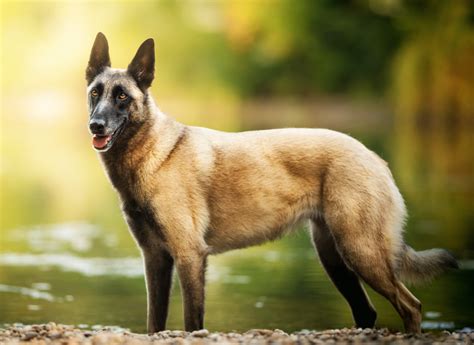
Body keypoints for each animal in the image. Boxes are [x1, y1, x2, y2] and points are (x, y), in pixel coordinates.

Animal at [84, 33, 456, 334]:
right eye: (95, 93)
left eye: (122, 97)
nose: (95, 125)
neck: (154, 154)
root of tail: (374, 157)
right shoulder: (155, 259)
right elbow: (154, 323)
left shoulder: (189, 256)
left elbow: (192, 322)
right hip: (335, 257)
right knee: (367, 312)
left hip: (361, 251)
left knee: (411, 306)